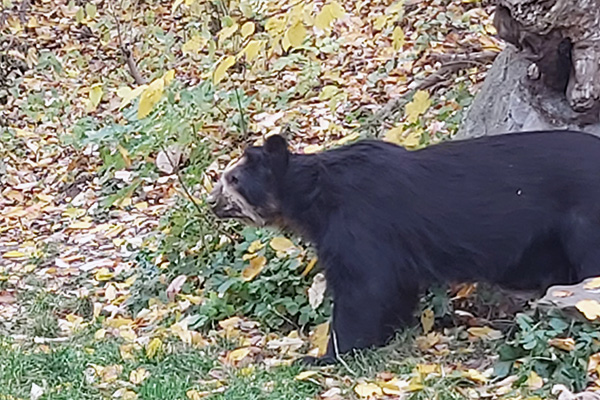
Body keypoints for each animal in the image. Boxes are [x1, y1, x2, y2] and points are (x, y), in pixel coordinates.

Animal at [207, 130, 600, 362]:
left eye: (233, 179)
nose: (211, 202)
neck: (313, 199)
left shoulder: (359, 226)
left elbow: (363, 290)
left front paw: (325, 356)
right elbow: (397, 288)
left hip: (584, 218)